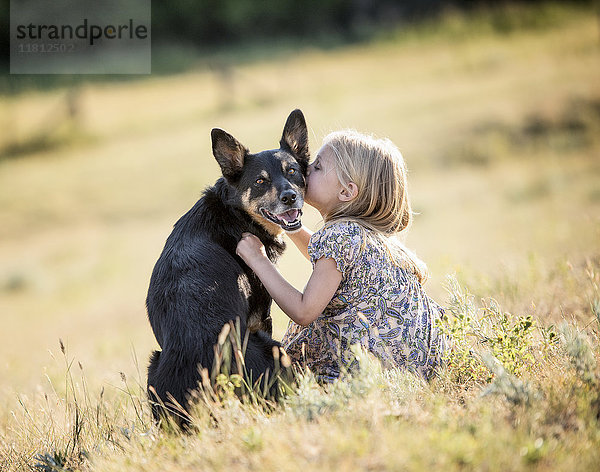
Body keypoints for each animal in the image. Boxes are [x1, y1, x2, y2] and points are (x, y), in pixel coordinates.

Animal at [145, 109, 310, 424]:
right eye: (259, 182)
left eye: (292, 171)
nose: (290, 197)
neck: (235, 213)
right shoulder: (260, 316)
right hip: (272, 349)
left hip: (154, 364)